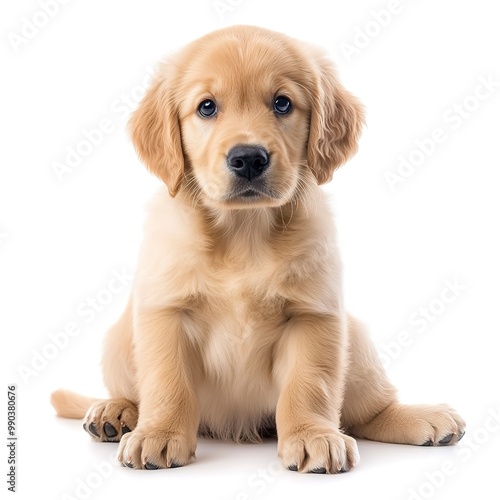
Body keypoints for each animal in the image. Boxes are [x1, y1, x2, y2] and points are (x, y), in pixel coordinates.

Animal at [50, 26, 464, 472]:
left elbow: (310, 385)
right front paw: (158, 434)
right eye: (207, 107)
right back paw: (115, 412)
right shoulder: (165, 311)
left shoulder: (315, 315)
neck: (244, 233)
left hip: (357, 342)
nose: (248, 158)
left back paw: (423, 418)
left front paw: (313, 436)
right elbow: (167, 382)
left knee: (366, 412)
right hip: (118, 341)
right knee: (130, 390)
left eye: (282, 103)